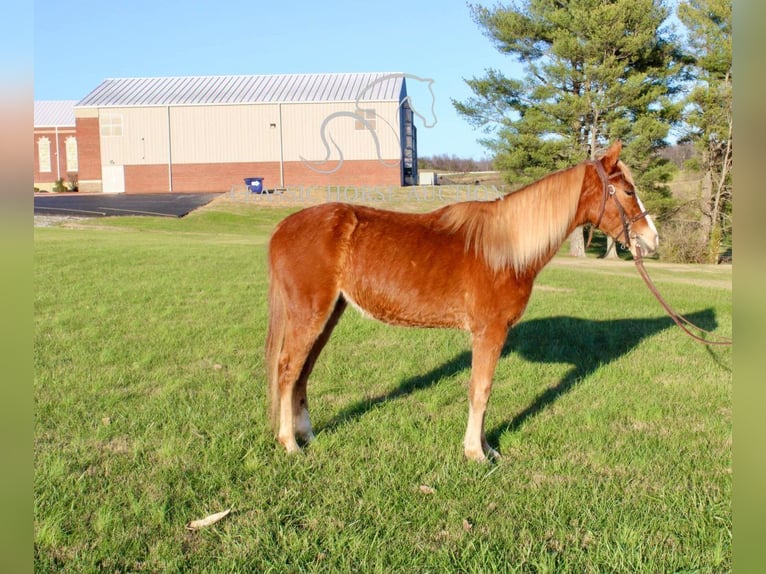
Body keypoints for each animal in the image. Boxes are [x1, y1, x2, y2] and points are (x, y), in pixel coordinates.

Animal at [264, 143, 660, 464]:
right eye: (628, 190)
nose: (652, 239)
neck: (506, 249)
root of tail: (282, 228)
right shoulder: (490, 331)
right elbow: (480, 390)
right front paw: (475, 453)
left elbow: (482, 390)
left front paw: (486, 448)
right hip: (310, 315)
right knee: (287, 371)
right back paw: (290, 444)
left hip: (329, 315)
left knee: (302, 373)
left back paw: (307, 436)